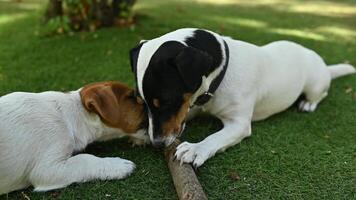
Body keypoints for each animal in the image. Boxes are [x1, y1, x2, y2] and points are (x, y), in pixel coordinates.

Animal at [130, 28, 356, 168]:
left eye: (167, 102)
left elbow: (215, 137)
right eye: (142, 102)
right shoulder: (192, 106)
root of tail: (324, 65)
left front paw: (196, 148)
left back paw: (308, 103)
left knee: (320, 94)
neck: (221, 75)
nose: (158, 143)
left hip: (315, 84)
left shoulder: (238, 124)